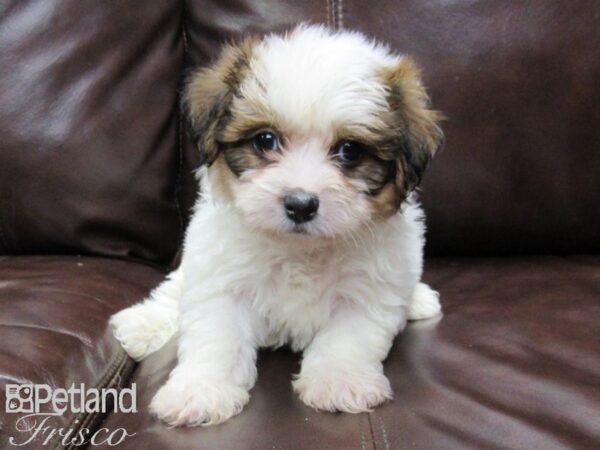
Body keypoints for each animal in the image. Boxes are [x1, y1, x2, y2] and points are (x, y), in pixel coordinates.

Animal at [110, 24, 442, 426]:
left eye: (349, 150)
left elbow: (348, 337)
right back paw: (143, 323)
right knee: (175, 287)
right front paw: (201, 390)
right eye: (265, 140)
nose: (300, 204)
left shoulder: (369, 290)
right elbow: (216, 337)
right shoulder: (222, 280)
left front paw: (338, 381)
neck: (300, 248)